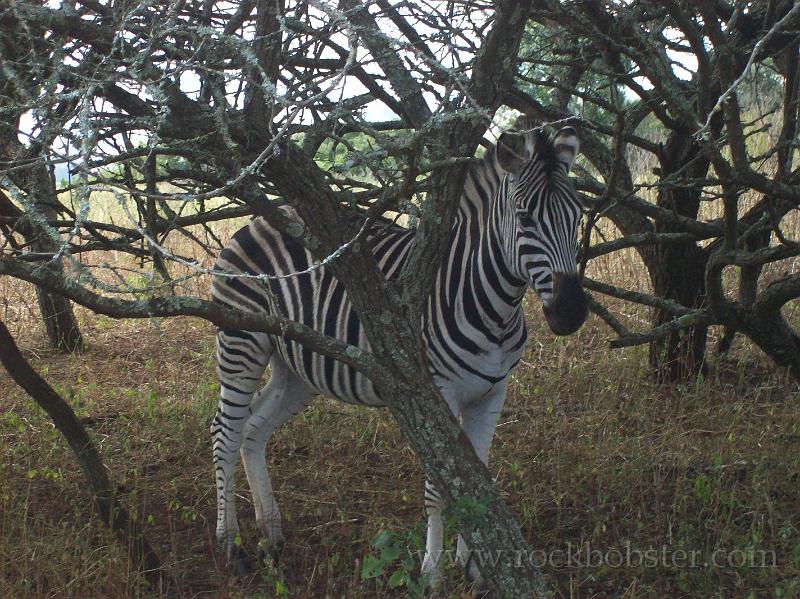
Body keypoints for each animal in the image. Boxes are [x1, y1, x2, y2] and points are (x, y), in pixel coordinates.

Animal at [209, 124, 592, 588]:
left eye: (578, 217)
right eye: (524, 219)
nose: (571, 312)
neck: (494, 308)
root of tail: (262, 217)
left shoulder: (492, 393)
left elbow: (476, 480)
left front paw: (475, 565)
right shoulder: (435, 391)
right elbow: (441, 488)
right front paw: (432, 575)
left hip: (298, 365)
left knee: (254, 429)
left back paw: (271, 533)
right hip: (241, 338)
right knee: (225, 432)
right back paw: (232, 545)